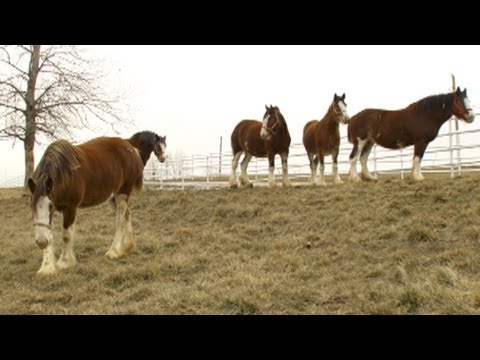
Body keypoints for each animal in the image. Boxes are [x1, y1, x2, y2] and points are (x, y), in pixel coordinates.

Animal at [28, 131, 168, 274]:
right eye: (31, 206)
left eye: (50, 206)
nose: (41, 242)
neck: (65, 174)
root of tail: (131, 147)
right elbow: (49, 232)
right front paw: (46, 267)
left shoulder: (71, 208)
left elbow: (66, 236)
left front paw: (65, 262)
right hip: (113, 197)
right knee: (127, 215)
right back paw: (127, 246)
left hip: (122, 193)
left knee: (120, 220)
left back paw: (114, 251)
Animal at [346, 87, 474, 181]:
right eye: (458, 101)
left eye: (468, 100)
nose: (471, 117)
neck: (425, 115)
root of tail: (352, 118)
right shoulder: (421, 142)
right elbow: (417, 158)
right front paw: (418, 177)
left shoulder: (422, 143)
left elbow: (418, 158)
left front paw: (414, 176)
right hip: (360, 142)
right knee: (353, 158)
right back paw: (356, 178)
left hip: (369, 142)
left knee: (363, 159)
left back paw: (370, 178)